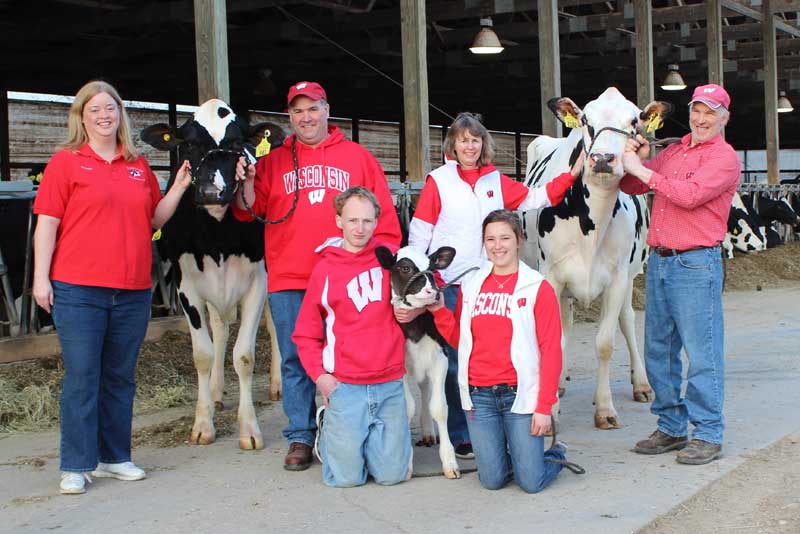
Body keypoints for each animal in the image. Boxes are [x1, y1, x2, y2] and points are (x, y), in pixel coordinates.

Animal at [141, 100, 284, 452]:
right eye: (189, 145)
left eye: (236, 144)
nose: (210, 192)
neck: (218, 235)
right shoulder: (186, 286)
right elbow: (203, 354)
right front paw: (203, 423)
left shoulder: (258, 282)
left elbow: (244, 355)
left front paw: (249, 428)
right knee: (219, 328)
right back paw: (217, 391)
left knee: (275, 326)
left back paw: (277, 384)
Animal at [376, 246, 462, 482]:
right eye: (405, 268)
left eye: (432, 268)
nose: (432, 292)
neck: (415, 328)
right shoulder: (401, 368)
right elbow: (407, 408)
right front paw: (406, 464)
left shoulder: (440, 359)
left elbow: (439, 408)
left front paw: (450, 463)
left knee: (425, 389)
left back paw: (428, 431)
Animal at [524, 88, 668, 432]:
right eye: (586, 120)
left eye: (634, 121)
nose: (602, 159)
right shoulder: (551, 276)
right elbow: (555, 339)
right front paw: (550, 409)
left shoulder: (617, 279)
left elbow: (605, 343)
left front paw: (604, 408)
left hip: (632, 273)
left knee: (627, 320)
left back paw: (641, 384)